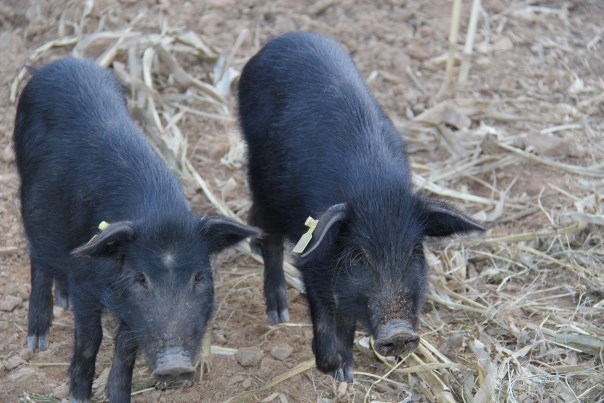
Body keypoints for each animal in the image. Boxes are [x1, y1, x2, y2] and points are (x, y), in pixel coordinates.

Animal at [14, 57, 258, 403]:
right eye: (141, 278)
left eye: (199, 277)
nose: (175, 365)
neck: (159, 215)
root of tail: (59, 63)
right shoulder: (84, 280)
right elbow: (90, 338)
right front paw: (77, 396)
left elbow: (126, 344)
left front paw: (118, 396)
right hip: (30, 202)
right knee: (38, 258)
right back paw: (38, 339)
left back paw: (62, 301)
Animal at [238, 33, 484, 384]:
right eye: (358, 257)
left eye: (414, 252)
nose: (399, 332)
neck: (376, 190)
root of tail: (283, 40)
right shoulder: (312, 255)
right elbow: (327, 309)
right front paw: (338, 371)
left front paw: (347, 373)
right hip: (260, 174)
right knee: (268, 234)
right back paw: (277, 314)